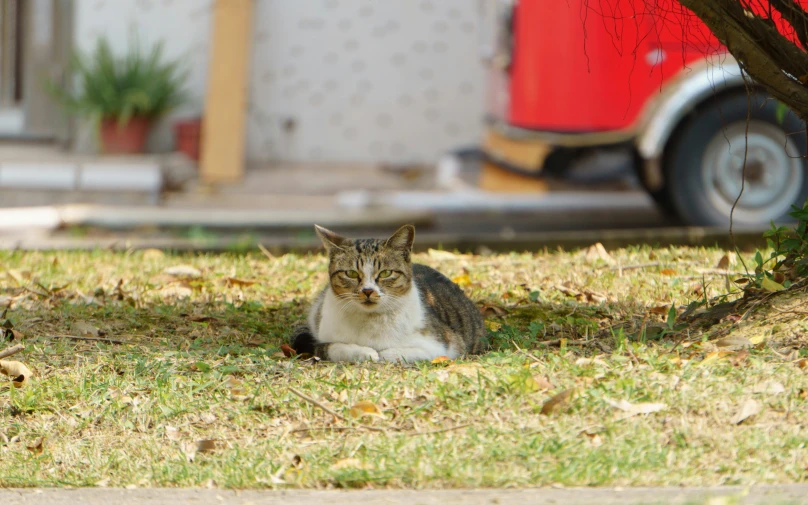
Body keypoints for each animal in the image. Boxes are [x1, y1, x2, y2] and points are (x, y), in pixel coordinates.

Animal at [290, 222, 486, 360]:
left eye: (385, 273)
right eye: (351, 273)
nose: (367, 291)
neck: (370, 320)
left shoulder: (447, 346)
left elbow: (396, 353)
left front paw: (382, 353)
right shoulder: (322, 336)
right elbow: (333, 347)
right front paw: (364, 353)